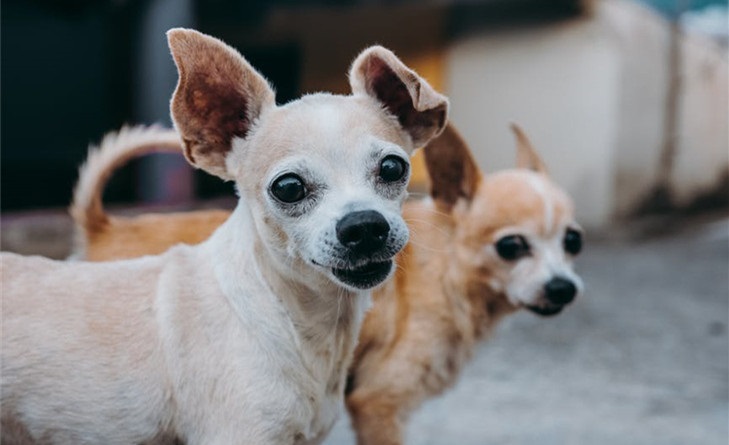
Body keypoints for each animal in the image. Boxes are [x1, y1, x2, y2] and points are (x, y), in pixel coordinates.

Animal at [67, 119, 580, 444]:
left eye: (573, 242)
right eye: (511, 247)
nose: (564, 287)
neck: (445, 265)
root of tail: (101, 225)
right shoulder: (377, 405)